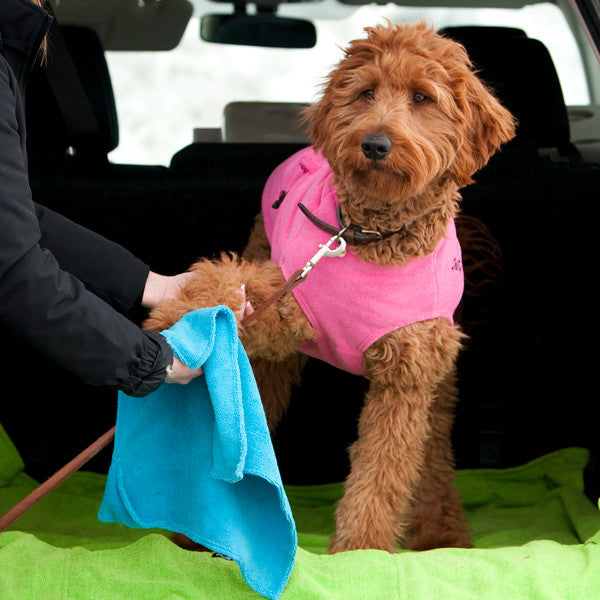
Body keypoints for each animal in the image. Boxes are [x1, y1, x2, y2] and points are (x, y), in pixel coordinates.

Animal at [146, 21, 516, 556]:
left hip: (438, 376)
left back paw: (443, 531)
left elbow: (384, 470)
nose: (375, 143)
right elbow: (225, 282)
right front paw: (172, 317)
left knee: (433, 452)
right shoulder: (287, 293)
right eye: (366, 93)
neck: (371, 237)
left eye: (422, 97)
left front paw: (362, 551)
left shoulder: (408, 372)